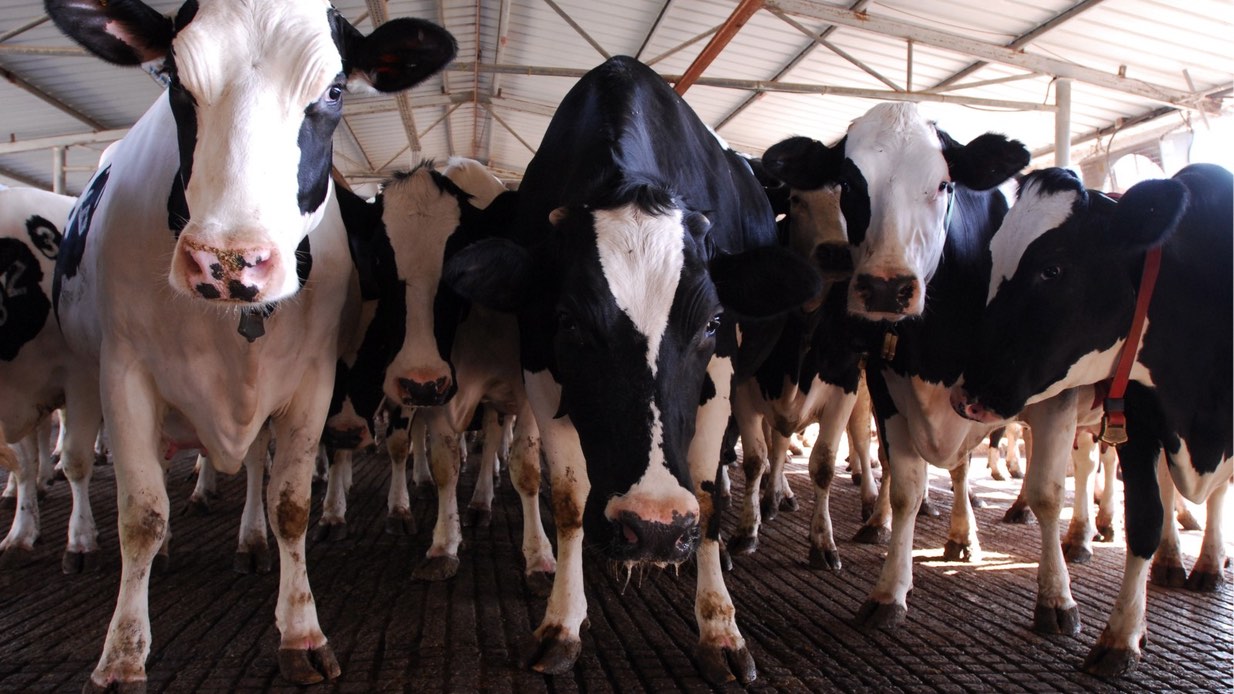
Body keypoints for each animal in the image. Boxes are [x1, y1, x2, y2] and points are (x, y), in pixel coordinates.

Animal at [44, 0, 459, 686]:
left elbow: (289, 501)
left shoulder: (314, 381)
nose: (229, 262)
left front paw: (302, 632)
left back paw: (250, 540)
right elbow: (141, 514)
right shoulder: (123, 374)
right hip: (81, 372)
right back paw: (86, 542)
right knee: (83, 462)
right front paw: (122, 654)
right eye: (175, 83)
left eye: (336, 91)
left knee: (252, 469)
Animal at [444, 55, 819, 681]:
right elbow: (569, 499)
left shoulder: (721, 372)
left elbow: (707, 492)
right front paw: (561, 624)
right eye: (569, 321)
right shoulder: (539, 363)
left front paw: (720, 628)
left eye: (713, 322)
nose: (654, 527)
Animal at [760, 102, 1031, 627]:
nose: (887, 287)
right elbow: (902, 480)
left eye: (944, 185)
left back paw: (961, 533)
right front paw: (889, 591)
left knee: (959, 467)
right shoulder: (882, 384)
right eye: (850, 182)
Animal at [952, 161, 1234, 671]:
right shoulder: (1140, 421)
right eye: (992, 260)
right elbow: (1142, 520)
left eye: (1052, 269)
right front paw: (1122, 636)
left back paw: (1202, 559)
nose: (968, 395)